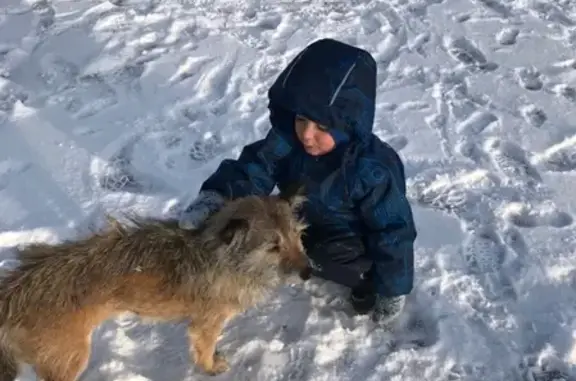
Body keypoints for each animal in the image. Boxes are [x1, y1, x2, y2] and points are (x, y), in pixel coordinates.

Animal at [0, 190, 310, 380]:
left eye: (297, 235)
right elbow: (204, 351)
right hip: (69, 359)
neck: (224, 257)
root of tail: (13, 292)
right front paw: (212, 367)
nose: (309, 272)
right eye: (273, 247)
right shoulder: (206, 324)